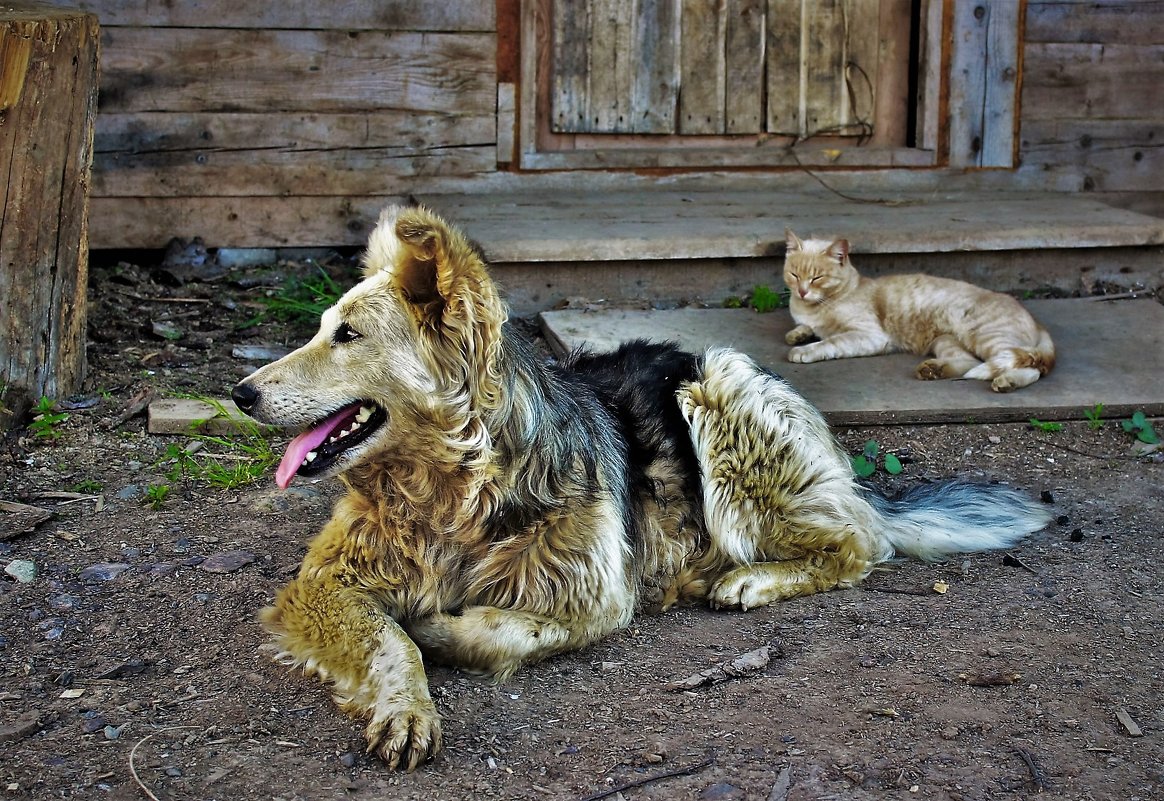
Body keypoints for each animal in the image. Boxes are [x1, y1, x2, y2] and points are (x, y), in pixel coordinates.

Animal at [782, 228, 1056, 391]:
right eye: (794, 274)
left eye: (817, 278)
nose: (802, 291)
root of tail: (1038, 322)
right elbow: (804, 328)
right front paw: (797, 334)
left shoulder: (869, 335)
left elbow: (830, 342)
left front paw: (804, 350)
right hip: (946, 341)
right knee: (969, 362)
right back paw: (933, 370)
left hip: (987, 337)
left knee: (1030, 367)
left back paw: (1008, 381)